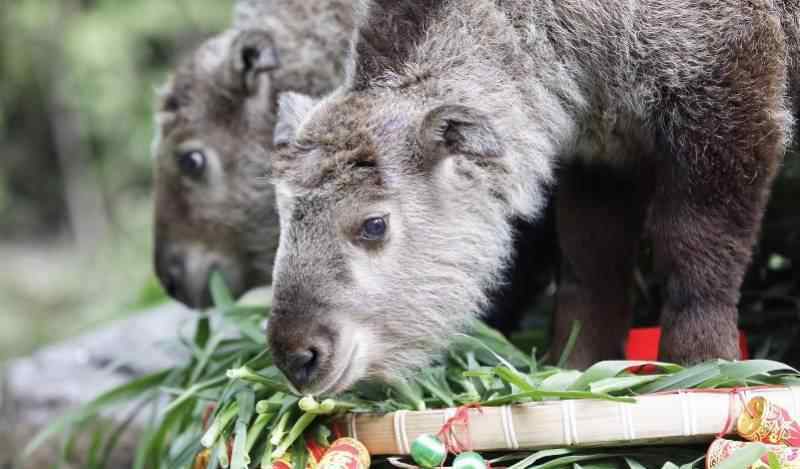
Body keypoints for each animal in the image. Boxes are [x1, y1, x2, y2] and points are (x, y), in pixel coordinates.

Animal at [270, 0, 800, 392]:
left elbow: (698, 245)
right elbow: (592, 265)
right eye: (285, 219)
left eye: (374, 225)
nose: (297, 356)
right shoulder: (604, 148)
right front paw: (577, 366)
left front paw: (703, 366)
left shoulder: (730, 94)